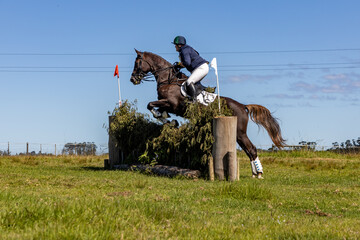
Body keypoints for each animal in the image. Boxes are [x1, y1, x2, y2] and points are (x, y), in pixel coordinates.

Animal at [131, 48, 286, 178]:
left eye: (137, 63)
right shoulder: (167, 105)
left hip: (239, 131)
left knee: (251, 149)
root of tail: (243, 106)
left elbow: (150, 105)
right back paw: (255, 173)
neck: (168, 79)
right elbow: (157, 110)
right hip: (237, 134)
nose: (133, 79)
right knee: (248, 149)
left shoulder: (172, 104)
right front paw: (170, 121)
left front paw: (168, 120)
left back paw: (259, 173)